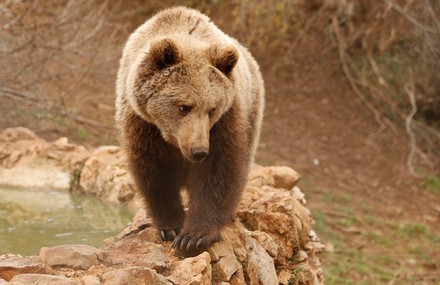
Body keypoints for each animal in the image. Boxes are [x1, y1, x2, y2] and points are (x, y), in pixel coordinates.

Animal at [115, 6, 262, 255]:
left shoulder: (224, 123)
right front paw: (171, 227)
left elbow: (218, 171)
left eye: (212, 109)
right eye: (183, 107)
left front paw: (193, 237)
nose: (198, 150)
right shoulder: (142, 124)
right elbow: (153, 171)